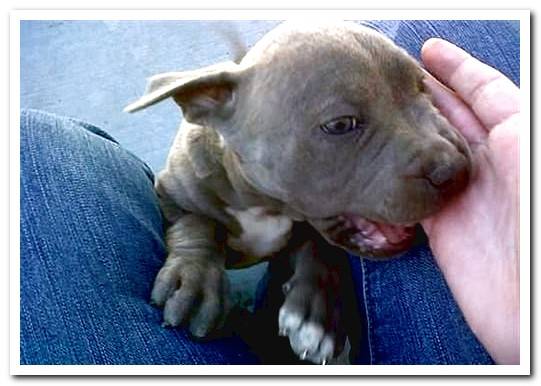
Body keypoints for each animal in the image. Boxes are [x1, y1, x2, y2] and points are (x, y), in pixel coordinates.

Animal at [124, 21, 470, 364]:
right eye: (341, 125)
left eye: (422, 86)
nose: (454, 168)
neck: (266, 206)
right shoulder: (171, 193)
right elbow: (195, 223)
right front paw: (194, 279)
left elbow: (317, 243)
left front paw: (315, 314)